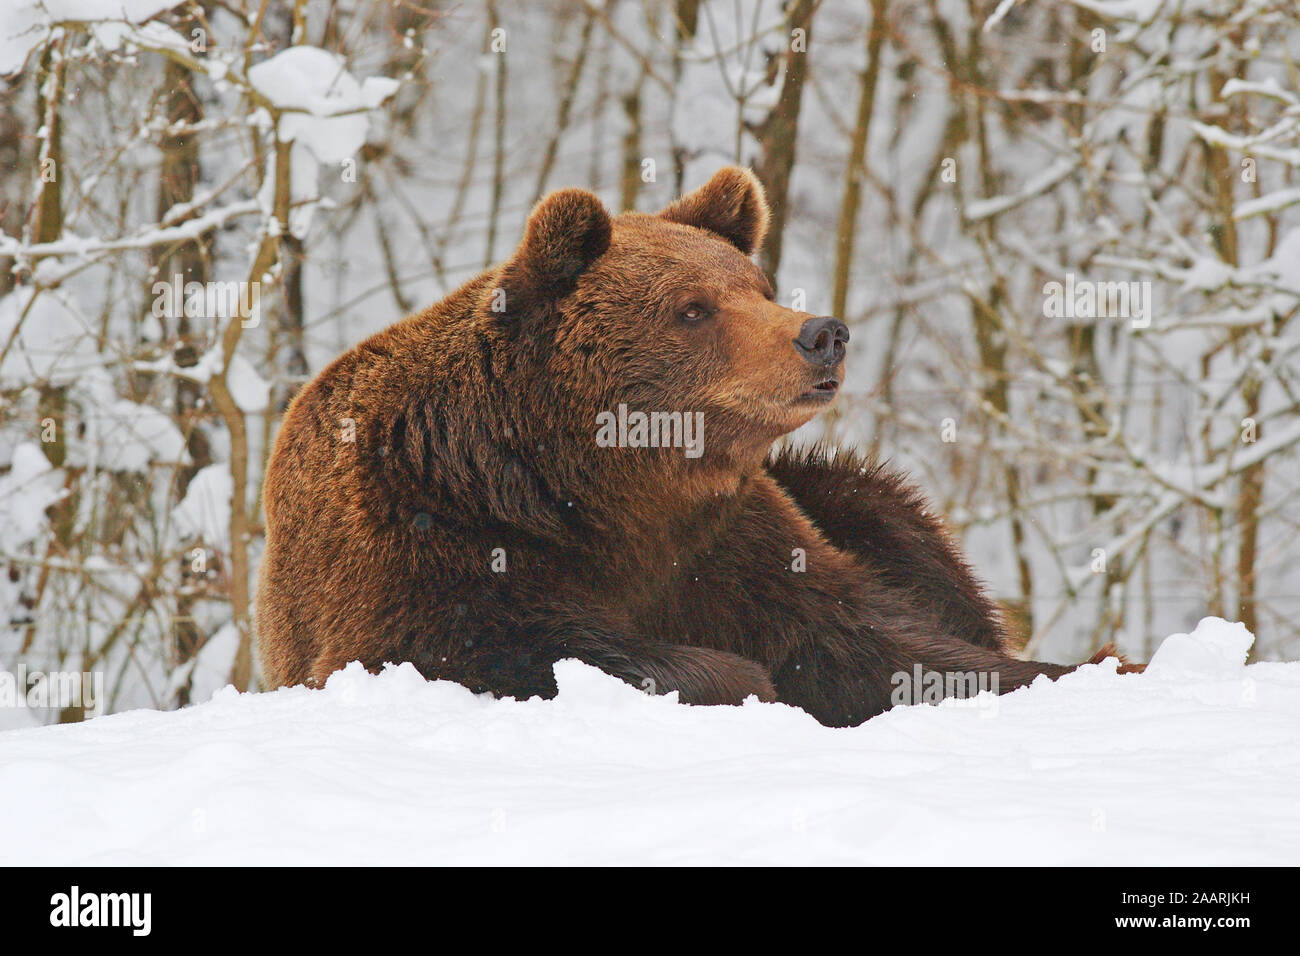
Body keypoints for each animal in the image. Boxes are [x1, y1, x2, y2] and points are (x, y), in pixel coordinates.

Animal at [256, 167, 1138, 728]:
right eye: (692, 307)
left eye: (758, 285)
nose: (821, 333)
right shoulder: (431, 539)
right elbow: (504, 647)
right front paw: (736, 679)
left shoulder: (735, 541)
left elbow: (883, 635)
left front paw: (1099, 666)